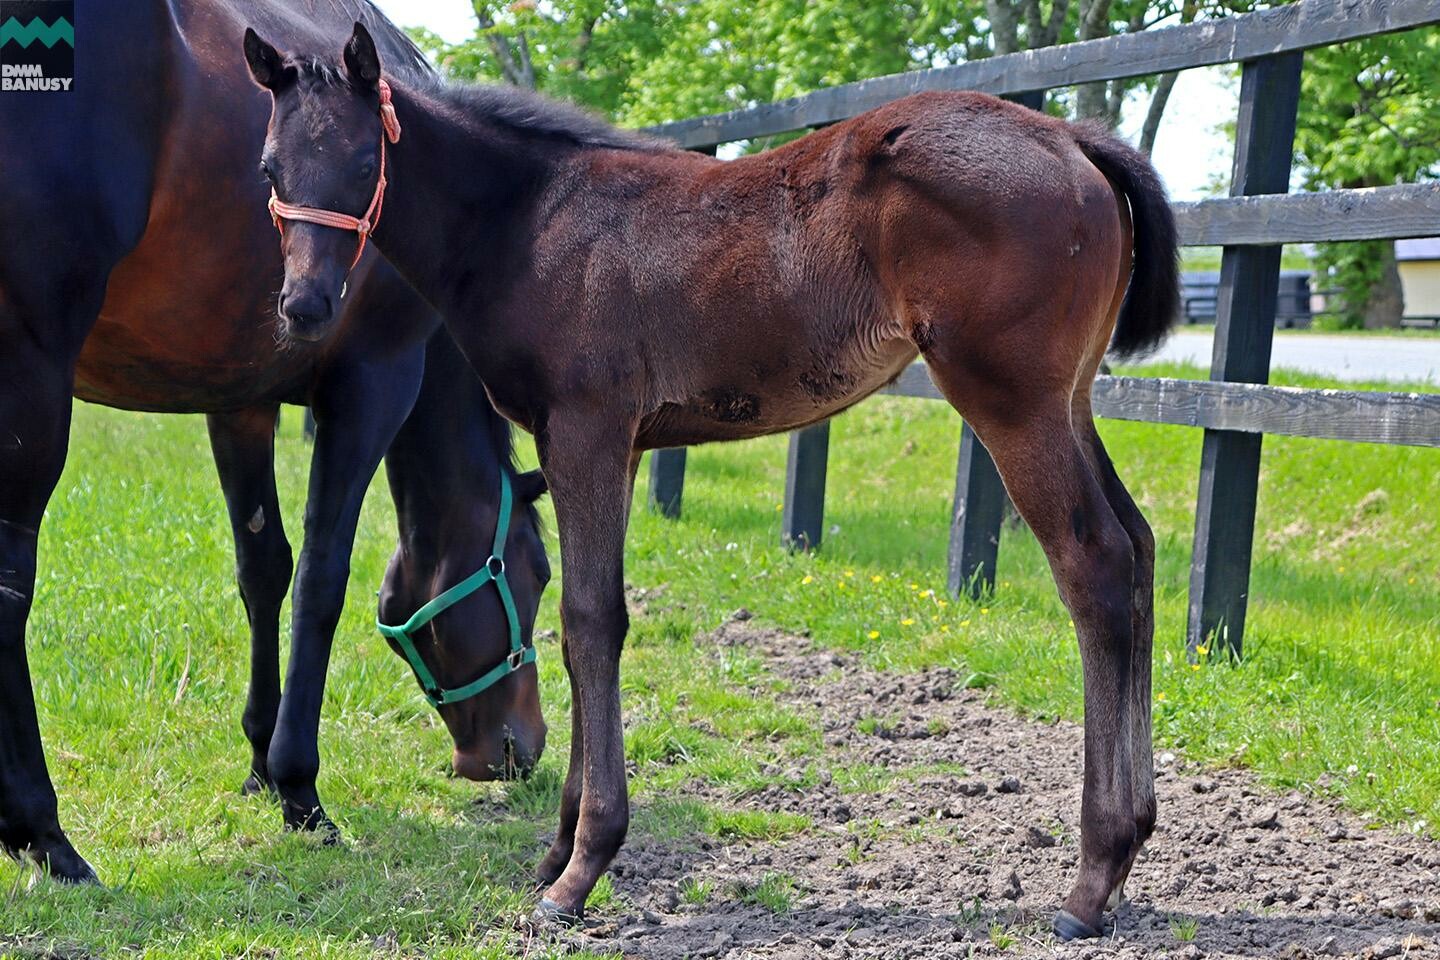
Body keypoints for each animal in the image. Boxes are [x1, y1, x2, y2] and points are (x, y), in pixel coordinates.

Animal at [244, 24, 1169, 944]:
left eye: (364, 159)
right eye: (269, 168)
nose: (305, 306)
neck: (532, 221)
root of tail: (1069, 138)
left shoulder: (584, 428)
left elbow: (591, 621)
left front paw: (580, 869)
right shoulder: (620, 445)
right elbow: (590, 626)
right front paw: (558, 850)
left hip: (1012, 401)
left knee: (1094, 564)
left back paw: (1092, 879)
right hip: (1071, 399)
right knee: (1139, 546)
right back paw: (1132, 842)